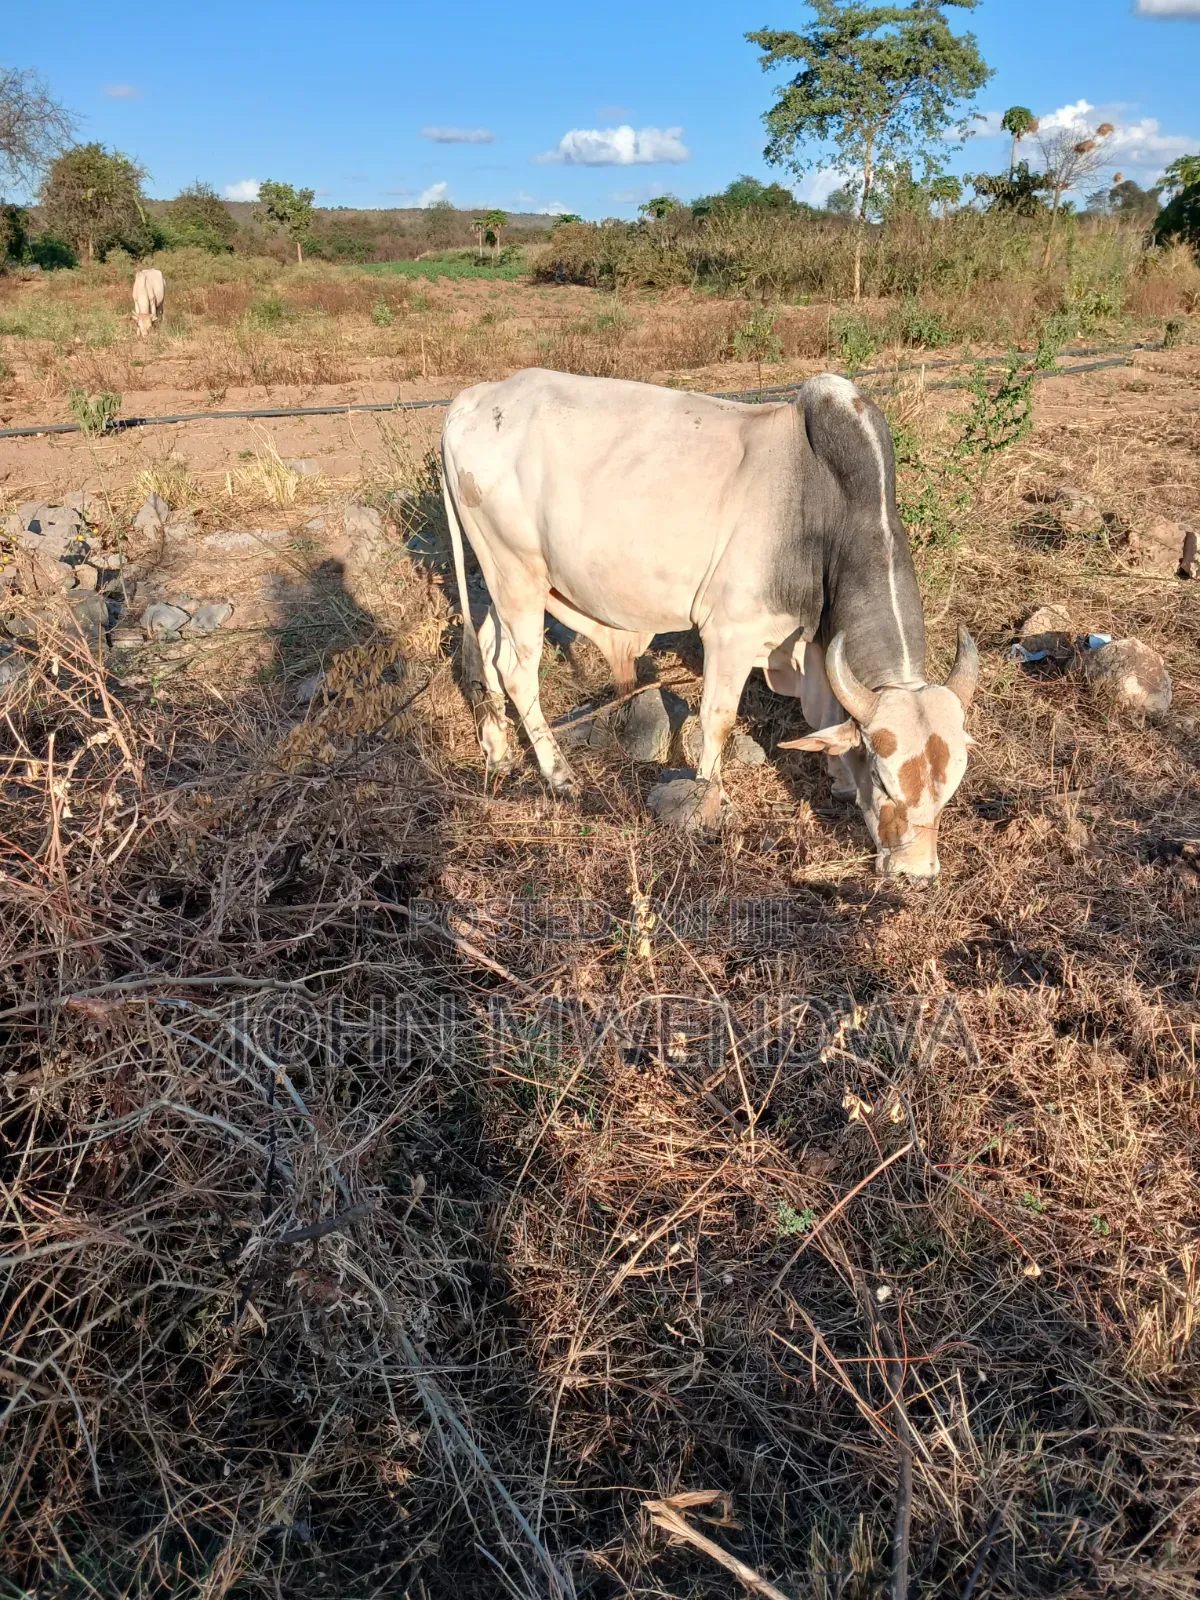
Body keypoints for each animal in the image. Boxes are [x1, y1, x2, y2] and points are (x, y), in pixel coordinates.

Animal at [442, 368, 979, 879]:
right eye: (884, 781)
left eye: (953, 784)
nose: (916, 872)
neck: (824, 504)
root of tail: (475, 397)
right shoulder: (731, 633)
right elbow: (716, 719)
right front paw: (710, 799)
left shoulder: (816, 645)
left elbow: (828, 715)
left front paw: (841, 779)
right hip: (517, 574)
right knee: (518, 672)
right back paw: (559, 775)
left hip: (504, 580)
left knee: (488, 648)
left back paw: (498, 748)